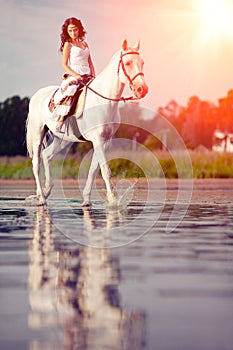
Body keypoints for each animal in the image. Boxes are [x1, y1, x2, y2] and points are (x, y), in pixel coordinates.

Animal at [26, 39, 148, 206]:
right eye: (128, 62)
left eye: (142, 62)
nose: (142, 89)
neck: (104, 101)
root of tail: (36, 95)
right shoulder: (97, 139)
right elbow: (105, 170)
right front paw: (113, 201)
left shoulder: (105, 141)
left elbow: (94, 169)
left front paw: (86, 199)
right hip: (38, 135)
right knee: (36, 164)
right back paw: (42, 199)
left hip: (61, 139)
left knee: (46, 155)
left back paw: (45, 191)